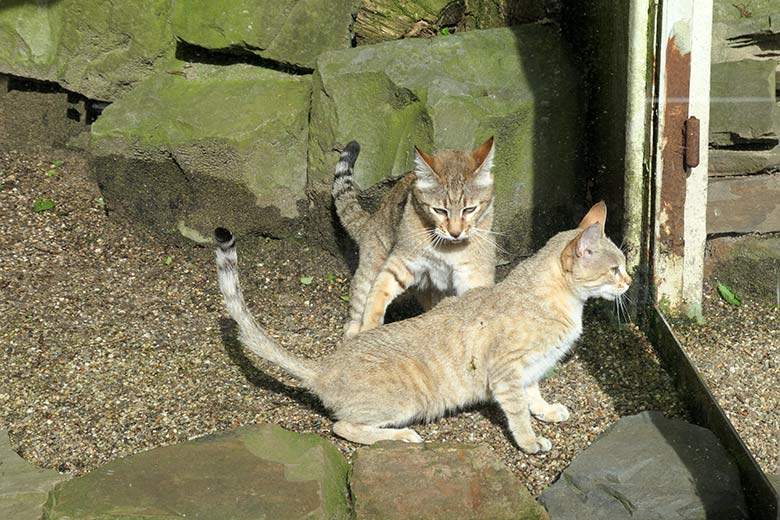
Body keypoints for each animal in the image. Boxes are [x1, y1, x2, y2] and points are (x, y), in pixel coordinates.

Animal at [216, 201, 632, 452]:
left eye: (624, 264)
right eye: (614, 268)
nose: (630, 281)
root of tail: (324, 368)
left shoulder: (530, 370)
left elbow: (535, 397)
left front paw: (547, 412)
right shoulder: (506, 373)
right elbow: (518, 414)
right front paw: (531, 442)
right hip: (408, 399)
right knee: (343, 428)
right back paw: (401, 436)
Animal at [332, 138, 496, 340]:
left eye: (470, 209)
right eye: (439, 210)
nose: (455, 233)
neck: (448, 248)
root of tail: (370, 221)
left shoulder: (474, 274)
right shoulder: (402, 261)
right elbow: (378, 293)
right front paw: (370, 326)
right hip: (370, 270)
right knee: (358, 306)